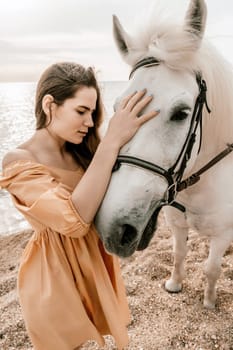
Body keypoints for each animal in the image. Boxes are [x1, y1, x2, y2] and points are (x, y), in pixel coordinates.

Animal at [94, 0, 233, 308]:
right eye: (117, 107)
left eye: (181, 113)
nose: (113, 229)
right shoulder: (177, 225)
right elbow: (179, 254)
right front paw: (174, 285)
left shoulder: (223, 233)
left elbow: (212, 268)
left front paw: (209, 302)